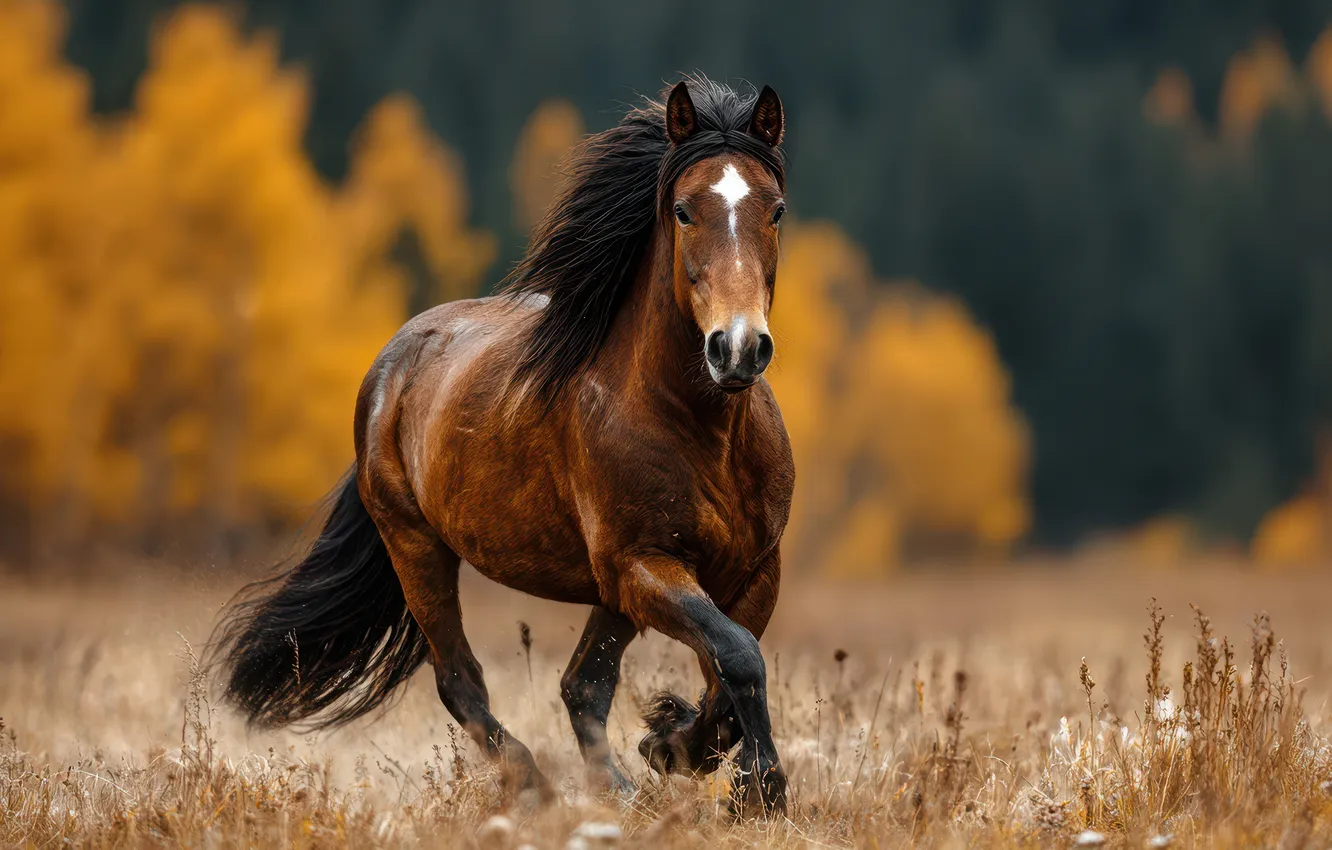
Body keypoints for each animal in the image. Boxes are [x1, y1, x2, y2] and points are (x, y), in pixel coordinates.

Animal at [212, 75, 794, 816]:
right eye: (685, 211)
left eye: (775, 210)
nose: (738, 348)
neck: (704, 428)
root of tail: (390, 365)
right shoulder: (643, 567)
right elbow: (738, 657)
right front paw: (753, 783)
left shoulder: (754, 570)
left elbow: (727, 672)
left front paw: (679, 747)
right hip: (418, 546)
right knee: (461, 678)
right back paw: (534, 785)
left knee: (581, 686)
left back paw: (617, 791)